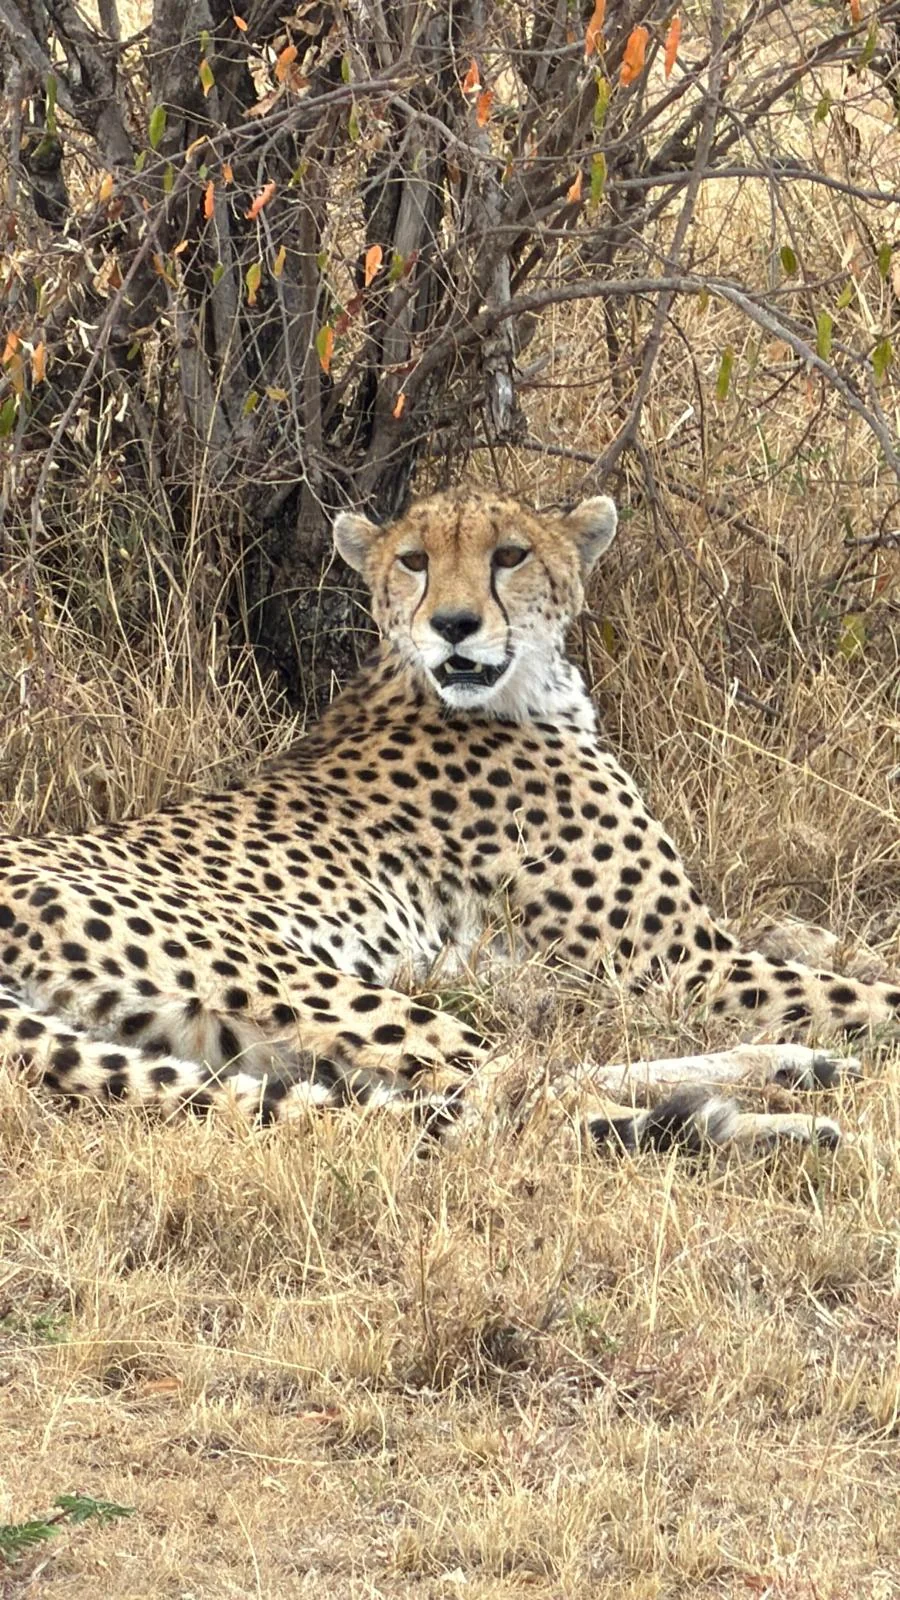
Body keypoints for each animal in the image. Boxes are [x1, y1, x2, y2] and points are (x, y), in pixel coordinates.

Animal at [2, 487, 898, 1154]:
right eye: (414, 561)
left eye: (510, 555)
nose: (455, 626)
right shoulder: (679, 960)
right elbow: (865, 993)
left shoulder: (634, 951)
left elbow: (814, 938)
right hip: (283, 975)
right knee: (516, 1095)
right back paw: (779, 1122)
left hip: (214, 1030)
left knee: (512, 1081)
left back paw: (786, 1075)